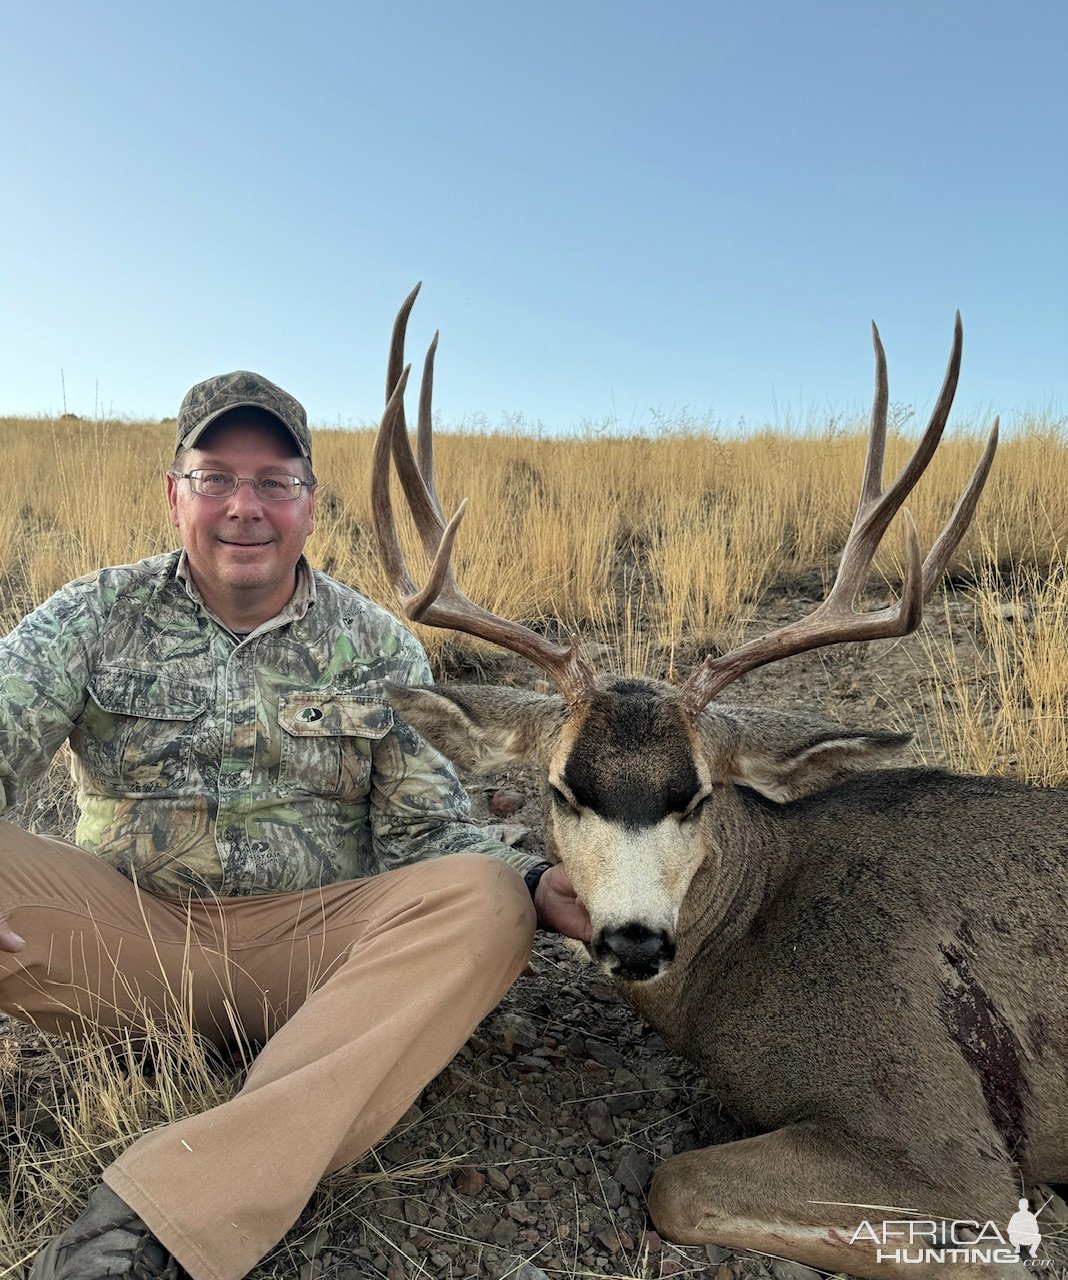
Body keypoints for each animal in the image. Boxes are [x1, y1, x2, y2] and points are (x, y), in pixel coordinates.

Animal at [368, 285, 1065, 1274]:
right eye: (562, 791)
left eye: (696, 795)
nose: (633, 941)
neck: (761, 931)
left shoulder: (948, 1134)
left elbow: (675, 1182)